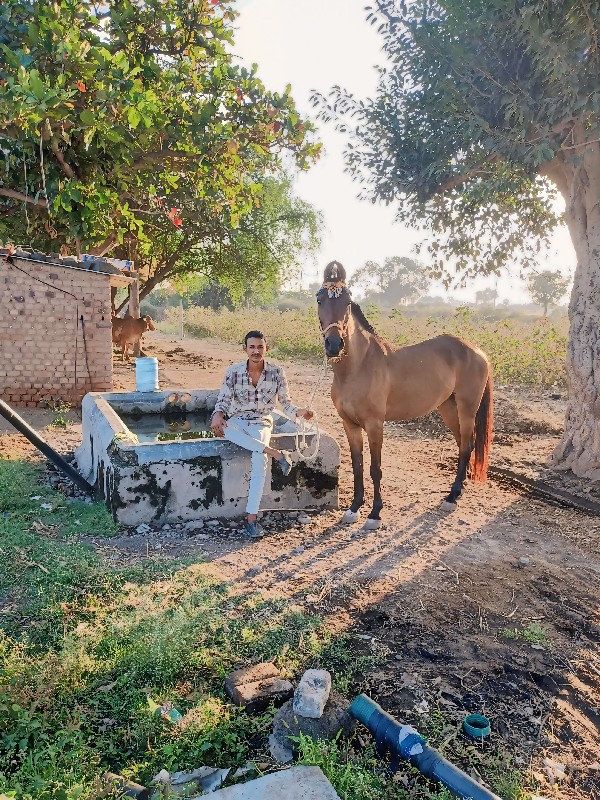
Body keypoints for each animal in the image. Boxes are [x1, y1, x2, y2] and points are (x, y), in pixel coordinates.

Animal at [316, 260, 494, 528]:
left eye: (347, 300)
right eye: (319, 298)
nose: (334, 344)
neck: (358, 366)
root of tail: (477, 351)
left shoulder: (375, 424)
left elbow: (375, 468)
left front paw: (375, 514)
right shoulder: (349, 424)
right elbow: (357, 466)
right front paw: (354, 508)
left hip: (467, 408)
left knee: (466, 446)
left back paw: (452, 497)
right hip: (448, 408)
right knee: (465, 444)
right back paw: (457, 491)